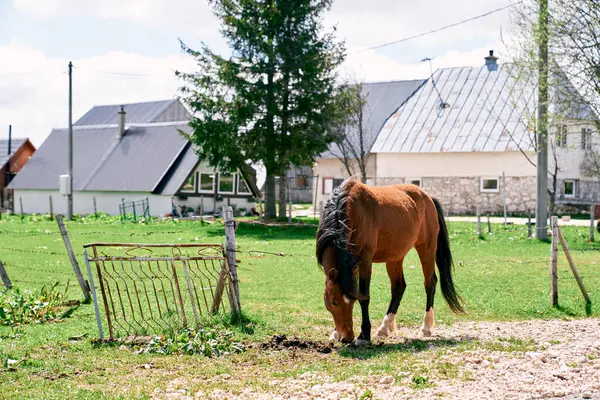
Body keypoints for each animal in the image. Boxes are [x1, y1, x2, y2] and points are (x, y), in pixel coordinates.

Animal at [316, 178, 466, 344]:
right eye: (333, 302)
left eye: (352, 301)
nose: (347, 337)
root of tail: (428, 198)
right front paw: (335, 333)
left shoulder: (365, 260)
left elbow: (365, 296)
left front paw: (364, 335)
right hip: (395, 258)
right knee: (399, 287)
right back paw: (384, 327)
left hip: (427, 249)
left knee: (430, 283)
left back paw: (425, 327)